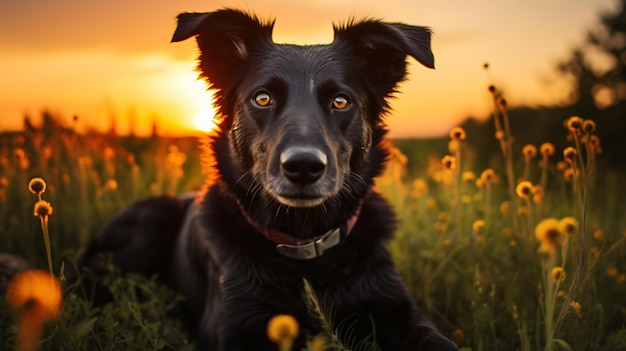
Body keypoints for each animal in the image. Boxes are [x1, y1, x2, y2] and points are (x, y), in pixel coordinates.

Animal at [80, 8, 456, 351]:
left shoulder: (399, 310)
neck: (306, 246)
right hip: (153, 213)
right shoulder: (239, 325)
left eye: (340, 101)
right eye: (262, 98)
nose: (303, 166)